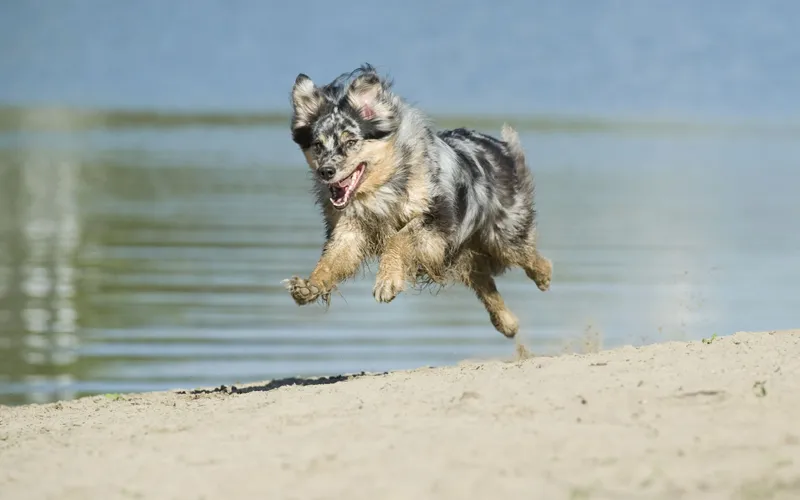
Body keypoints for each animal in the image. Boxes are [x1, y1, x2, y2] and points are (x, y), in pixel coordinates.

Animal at [284, 62, 552, 336]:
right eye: (317, 145)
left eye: (351, 142)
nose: (326, 171)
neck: (382, 189)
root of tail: (501, 148)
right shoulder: (350, 229)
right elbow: (332, 260)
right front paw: (310, 285)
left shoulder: (435, 219)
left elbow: (400, 238)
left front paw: (388, 282)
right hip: (465, 253)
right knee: (485, 283)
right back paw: (507, 323)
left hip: (501, 237)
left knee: (530, 255)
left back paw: (543, 277)